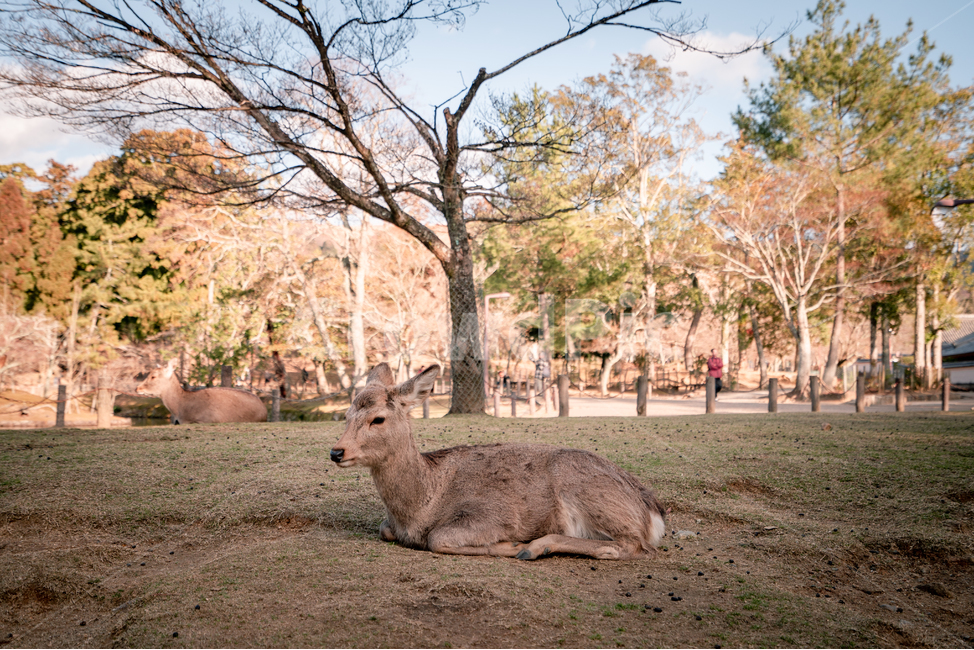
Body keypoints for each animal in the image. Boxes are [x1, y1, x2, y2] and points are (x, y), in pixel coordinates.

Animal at [329, 363, 666, 560]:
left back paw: (533, 548)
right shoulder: (390, 526)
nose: (336, 452)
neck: (421, 507)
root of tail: (653, 512)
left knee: (629, 544)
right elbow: (383, 529)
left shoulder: (496, 514)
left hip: (589, 493)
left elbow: (438, 538)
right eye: (346, 415)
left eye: (378, 419)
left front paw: (512, 545)